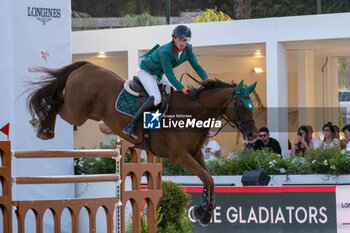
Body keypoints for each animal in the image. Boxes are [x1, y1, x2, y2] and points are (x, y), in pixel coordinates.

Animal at [26, 61, 258, 226]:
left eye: (252, 106)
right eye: (242, 106)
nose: (253, 134)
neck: (194, 111)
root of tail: (87, 66)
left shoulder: (196, 154)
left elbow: (209, 179)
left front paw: (205, 213)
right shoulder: (180, 156)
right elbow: (206, 177)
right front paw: (203, 211)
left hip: (88, 113)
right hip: (77, 113)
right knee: (56, 102)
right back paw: (42, 126)